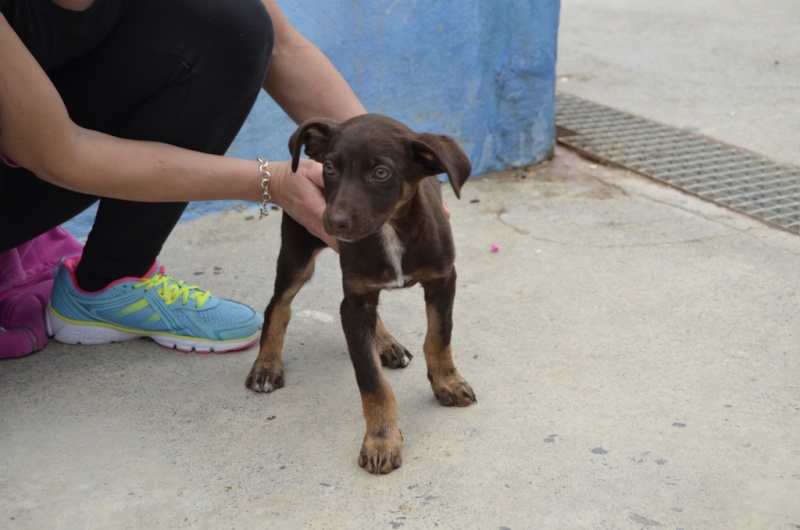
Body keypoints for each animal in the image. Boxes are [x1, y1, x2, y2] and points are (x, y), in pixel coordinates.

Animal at [245, 113, 476, 472]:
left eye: (380, 173)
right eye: (329, 168)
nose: (333, 221)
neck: (391, 228)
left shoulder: (442, 280)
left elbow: (439, 336)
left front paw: (447, 381)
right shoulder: (353, 302)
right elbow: (372, 381)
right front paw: (381, 439)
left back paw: (385, 343)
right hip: (297, 252)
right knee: (277, 307)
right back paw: (267, 365)